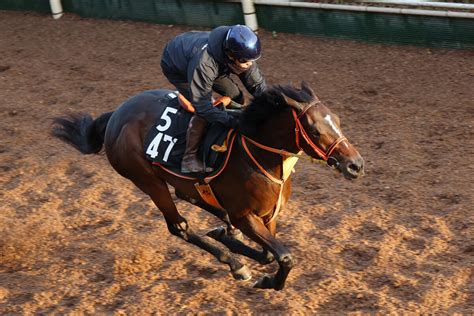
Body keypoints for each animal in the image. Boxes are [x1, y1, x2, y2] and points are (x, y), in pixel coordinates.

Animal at [51, 82, 362, 292]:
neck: (257, 153)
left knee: (191, 198)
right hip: (147, 180)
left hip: (178, 182)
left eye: (338, 120)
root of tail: (116, 113)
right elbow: (284, 256)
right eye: (315, 131)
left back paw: (224, 232)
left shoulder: (268, 215)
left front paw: (231, 240)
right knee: (179, 226)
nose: (355, 165)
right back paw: (234, 264)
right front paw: (265, 281)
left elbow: (267, 253)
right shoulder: (246, 216)